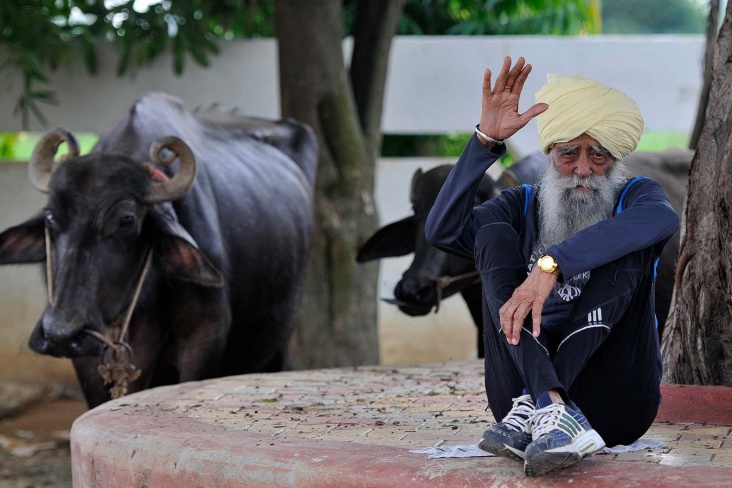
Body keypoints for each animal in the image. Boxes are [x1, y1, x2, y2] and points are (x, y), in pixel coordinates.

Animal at [0, 92, 318, 408]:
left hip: (279, 338)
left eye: (126, 220)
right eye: (51, 217)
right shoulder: (88, 355)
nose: (61, 335)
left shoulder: (204, 336)